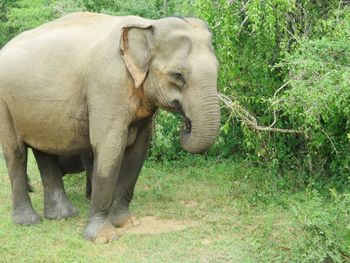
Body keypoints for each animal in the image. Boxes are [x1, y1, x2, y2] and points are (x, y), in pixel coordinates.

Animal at [0, 12, 219, 243]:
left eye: (218, 68)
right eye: (177, 75)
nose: (186, 125)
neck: (147, 25)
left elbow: (138, 151)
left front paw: (128, 223)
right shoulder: (107, 85)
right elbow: (109, 146)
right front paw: (103, 237)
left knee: (45, 151)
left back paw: (62, 216)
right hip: (4, 103)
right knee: (16, 153)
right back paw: (28, 221)